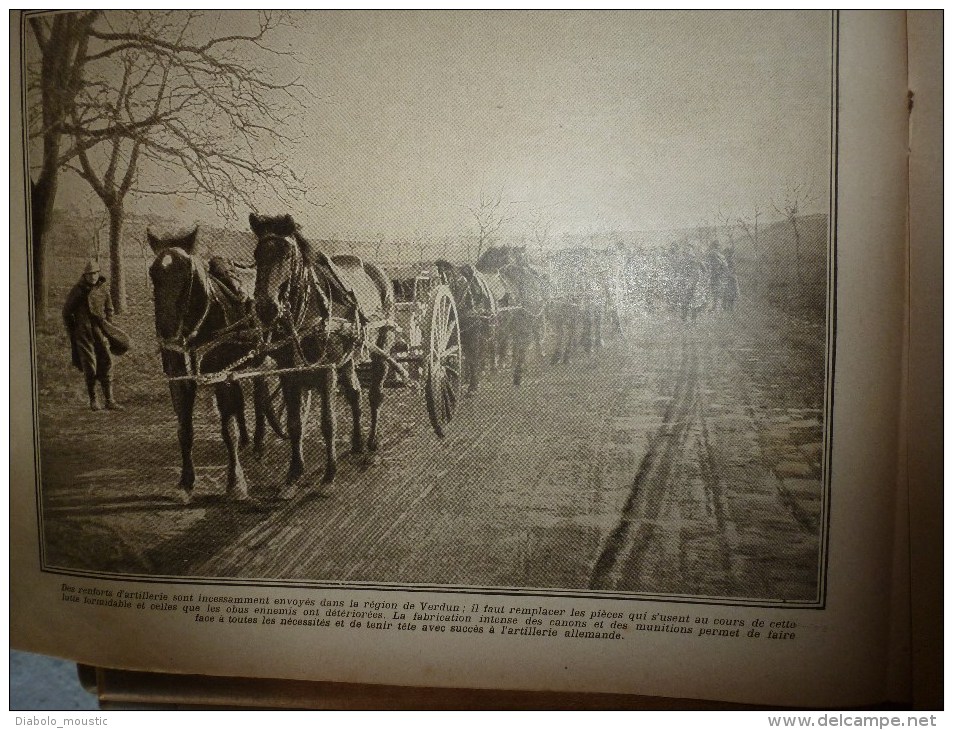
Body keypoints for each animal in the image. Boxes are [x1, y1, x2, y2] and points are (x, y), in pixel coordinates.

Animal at [149, 226, 268, 500]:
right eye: (153, 272)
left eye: (187, 273)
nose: (168, 335)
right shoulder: (179, 378)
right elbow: (184, 429)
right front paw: (186, 481)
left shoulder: (222, 377)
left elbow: (228, 431)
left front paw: (236, 482)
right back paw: (250, 440)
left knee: (262, 395)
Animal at [249, 213, 394, 492]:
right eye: (257, 254)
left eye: (287, 255)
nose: (265, 307)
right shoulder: (289, 373)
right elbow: (295, 423)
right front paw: (294, 472)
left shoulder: (326, 370)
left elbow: (328, 423)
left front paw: (329, 474)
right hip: (347, 359)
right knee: (355, 394)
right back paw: (357, 443)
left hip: (382, 347)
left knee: (375, 395)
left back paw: (371, 441)